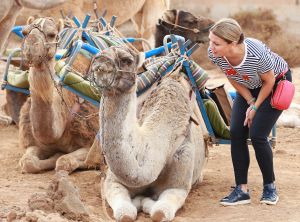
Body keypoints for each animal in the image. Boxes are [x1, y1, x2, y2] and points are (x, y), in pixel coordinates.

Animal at [17, 16, 98, 173]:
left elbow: (64, 162)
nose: (31, 47)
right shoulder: (35, 143)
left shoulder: (89, 140)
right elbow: (28, 162)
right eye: (24, 32)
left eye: (52, 34)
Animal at [91, 46, 209, 221]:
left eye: (127, 60)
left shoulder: (182, 163)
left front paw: (144, 201)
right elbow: (124, 213)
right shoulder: (112, 182)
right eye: (97, 54)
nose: (100, 62)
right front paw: (137, 201)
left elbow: (160, 212)